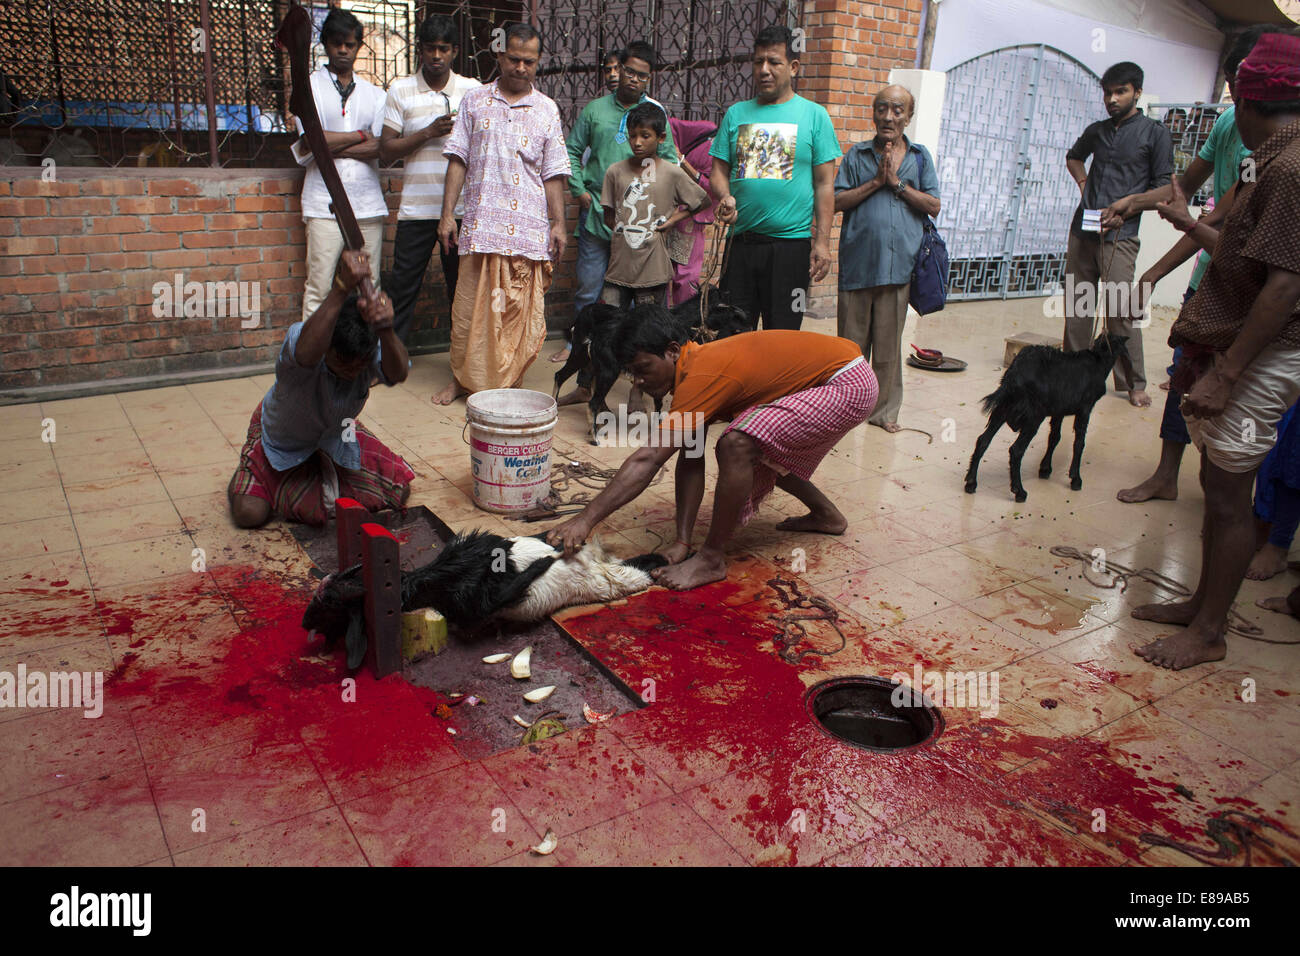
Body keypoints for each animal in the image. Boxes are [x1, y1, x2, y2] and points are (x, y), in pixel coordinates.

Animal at [299, 530, 665, 665]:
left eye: (329, 602)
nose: (304, 623)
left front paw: (545, 558)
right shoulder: (477, 606)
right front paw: (545, 561)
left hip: (607, 578)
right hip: (608, 580)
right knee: (632, 572)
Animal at [961, 332, 1133, 504]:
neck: (1098, 362)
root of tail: (1015, 374)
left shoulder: (1058, 411)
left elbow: (1054, 437)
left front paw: (1045, 469)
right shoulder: (1085, 409)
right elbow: (1079, 443)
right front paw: (1075, 479)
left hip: (1002, 409)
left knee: (983, 440)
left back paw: (971, 483)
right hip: (1034, 416)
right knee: (1016, 450)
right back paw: (1019, 492)